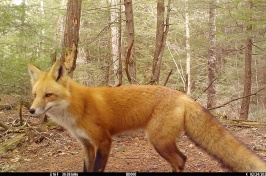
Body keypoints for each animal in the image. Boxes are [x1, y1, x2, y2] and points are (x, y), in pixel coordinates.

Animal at [27, 60, 266, 172]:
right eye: (35, 95)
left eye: (48, 95)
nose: (31, 111)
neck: (79, 105)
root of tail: (184, 96)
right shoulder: (87, 145)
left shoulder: (104, 141)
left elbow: (97, 169)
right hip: (163, 141)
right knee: (182, 159)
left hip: (157, 140)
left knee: (180, 160)